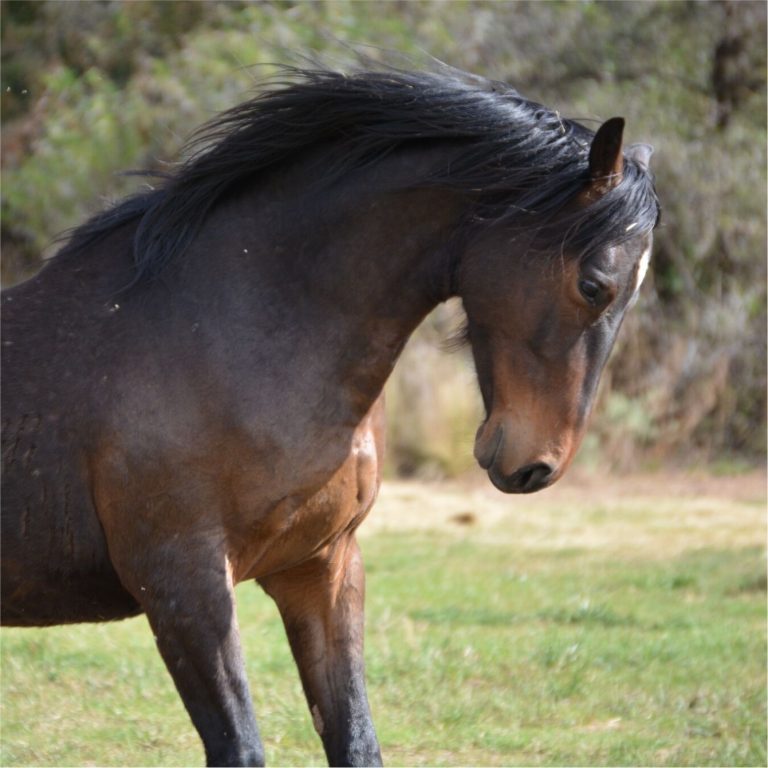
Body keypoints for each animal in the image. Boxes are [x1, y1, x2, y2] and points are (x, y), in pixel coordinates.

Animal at [1, 66, 660, 768]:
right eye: (594, 285)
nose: (537, 466)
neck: (229, 333)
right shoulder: (183, 585)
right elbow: (241, 747)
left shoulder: (321, 568)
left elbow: (355, 740)